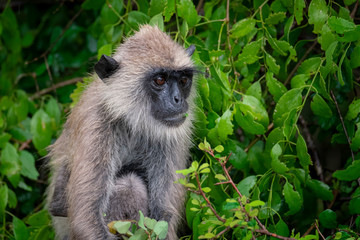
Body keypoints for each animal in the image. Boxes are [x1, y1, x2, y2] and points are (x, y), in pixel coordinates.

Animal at [46, 24, 197, 240]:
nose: (178, 99)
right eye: (160, 80)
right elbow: (83, 218)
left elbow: (165, 214)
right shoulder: (96, 125)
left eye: (183, 80)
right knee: (129, 184)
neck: (133, 122)